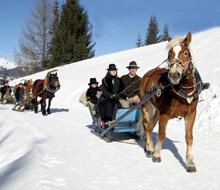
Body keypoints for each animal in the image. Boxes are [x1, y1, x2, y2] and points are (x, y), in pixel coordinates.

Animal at [139, 31, 205, 172]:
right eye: (169, 54)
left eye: (186, 53)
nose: (174, 75)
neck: (183, 91)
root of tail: (148, 73)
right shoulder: (165, 114)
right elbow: (162, 134)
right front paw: (157, 155)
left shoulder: (191, 114)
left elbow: (189, 137)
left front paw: (190, 162)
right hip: (146, 105)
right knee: (146, 126)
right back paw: (151, 148)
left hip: (157, 111)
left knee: (151, 126)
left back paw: (147, 146)